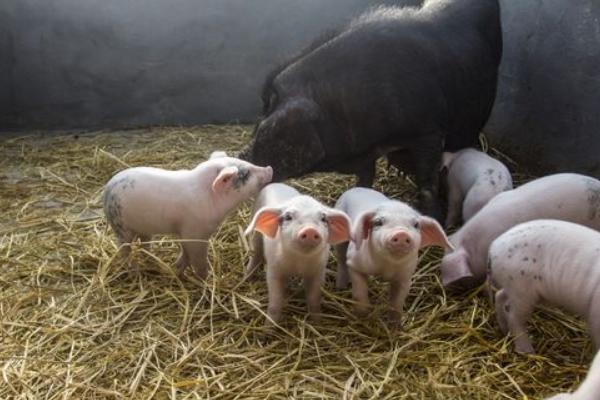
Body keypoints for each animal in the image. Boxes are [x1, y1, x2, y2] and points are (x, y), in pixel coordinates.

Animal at [239, 0, 502, 222]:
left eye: (266, 122)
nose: (240, 156)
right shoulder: (366, 150)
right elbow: (365, 178)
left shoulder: (429, 129)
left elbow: (427, 182)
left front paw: (432, 218)